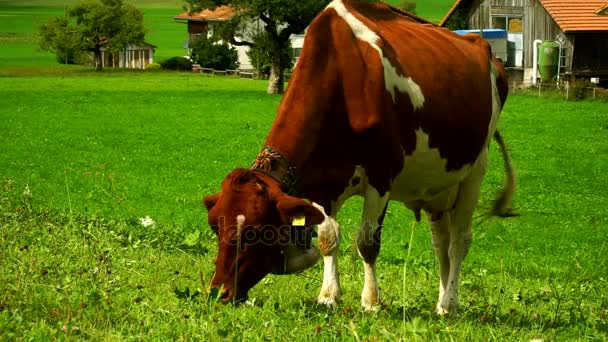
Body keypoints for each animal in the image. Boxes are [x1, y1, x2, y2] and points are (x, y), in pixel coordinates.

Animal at [203, 0, 512, 316]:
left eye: (256, 232)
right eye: (215, 226)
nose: (219, 292)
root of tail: (483, 48)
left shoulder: (381, 175)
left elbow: (367, 242)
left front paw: (371, 301)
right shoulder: (322, 183)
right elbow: (327, 239)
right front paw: (328, 296)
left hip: (475, 171)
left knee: (459, 242)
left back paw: (449, 303)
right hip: (437, 187)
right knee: (441, 242)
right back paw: (441, 301)